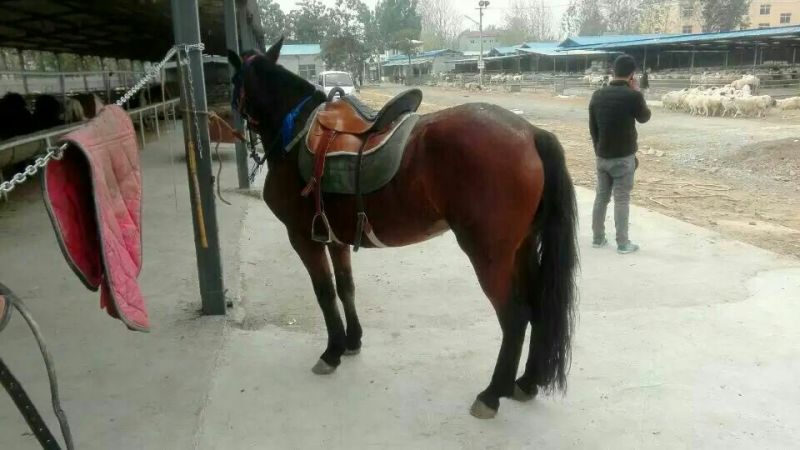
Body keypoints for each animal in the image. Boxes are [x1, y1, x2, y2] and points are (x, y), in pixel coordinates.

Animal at [229, 38, 579, 419]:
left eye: (233, 81)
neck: (296, 135)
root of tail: (530, 133)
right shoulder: (334, 238)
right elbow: (345, 288)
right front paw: (352, 341)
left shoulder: (303, 238)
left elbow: (324, 293)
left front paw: (332, 351)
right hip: (522, 249)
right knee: (537, 307)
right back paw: (527, 382)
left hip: (490, 257)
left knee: (514, 317)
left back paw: (491, 394)